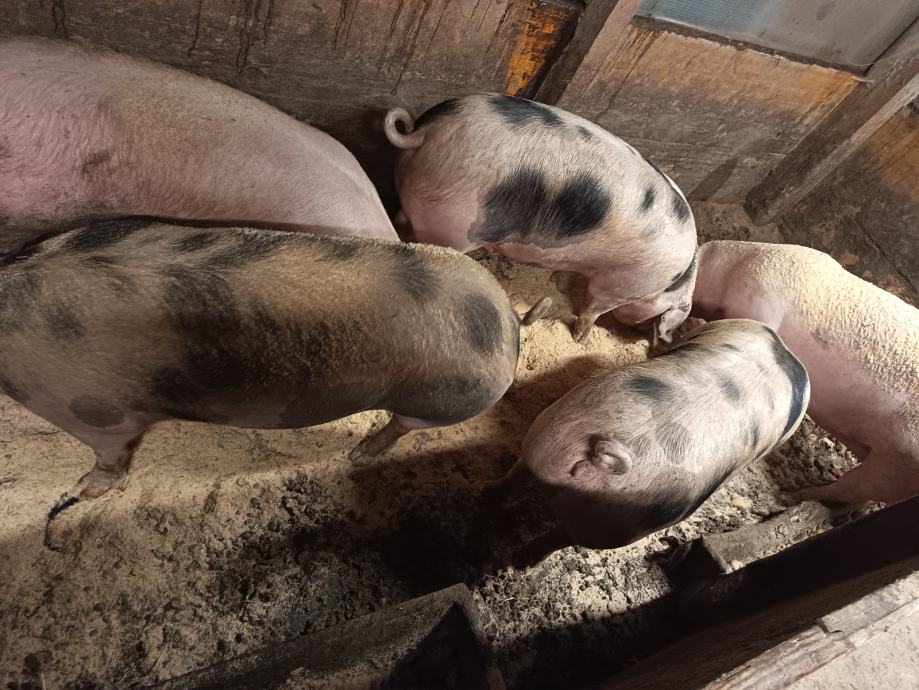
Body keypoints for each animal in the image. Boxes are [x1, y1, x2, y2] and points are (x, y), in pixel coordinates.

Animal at [0, 220, 520, 499]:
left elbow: (108, 456)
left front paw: (84, 490)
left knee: (399, 427)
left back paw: (358, 455)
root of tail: (509, 320)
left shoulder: (96, 412)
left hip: (442, 402)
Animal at [383, 93, 698, 344]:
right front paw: (581, 340)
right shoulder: (618, 285)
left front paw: (558, 282)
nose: (643, 333)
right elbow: (593, 308)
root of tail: (424, 132)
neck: (671, 282)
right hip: (454, 224)